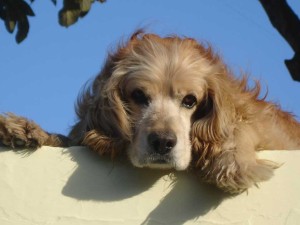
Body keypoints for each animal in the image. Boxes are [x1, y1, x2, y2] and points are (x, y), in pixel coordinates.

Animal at [0, 31, 300, 193]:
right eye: (138, 96)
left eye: (190, 101)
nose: (163, 143)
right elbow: (71, 139)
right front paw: (24, 129)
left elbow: (240, 125)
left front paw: (233, 162)